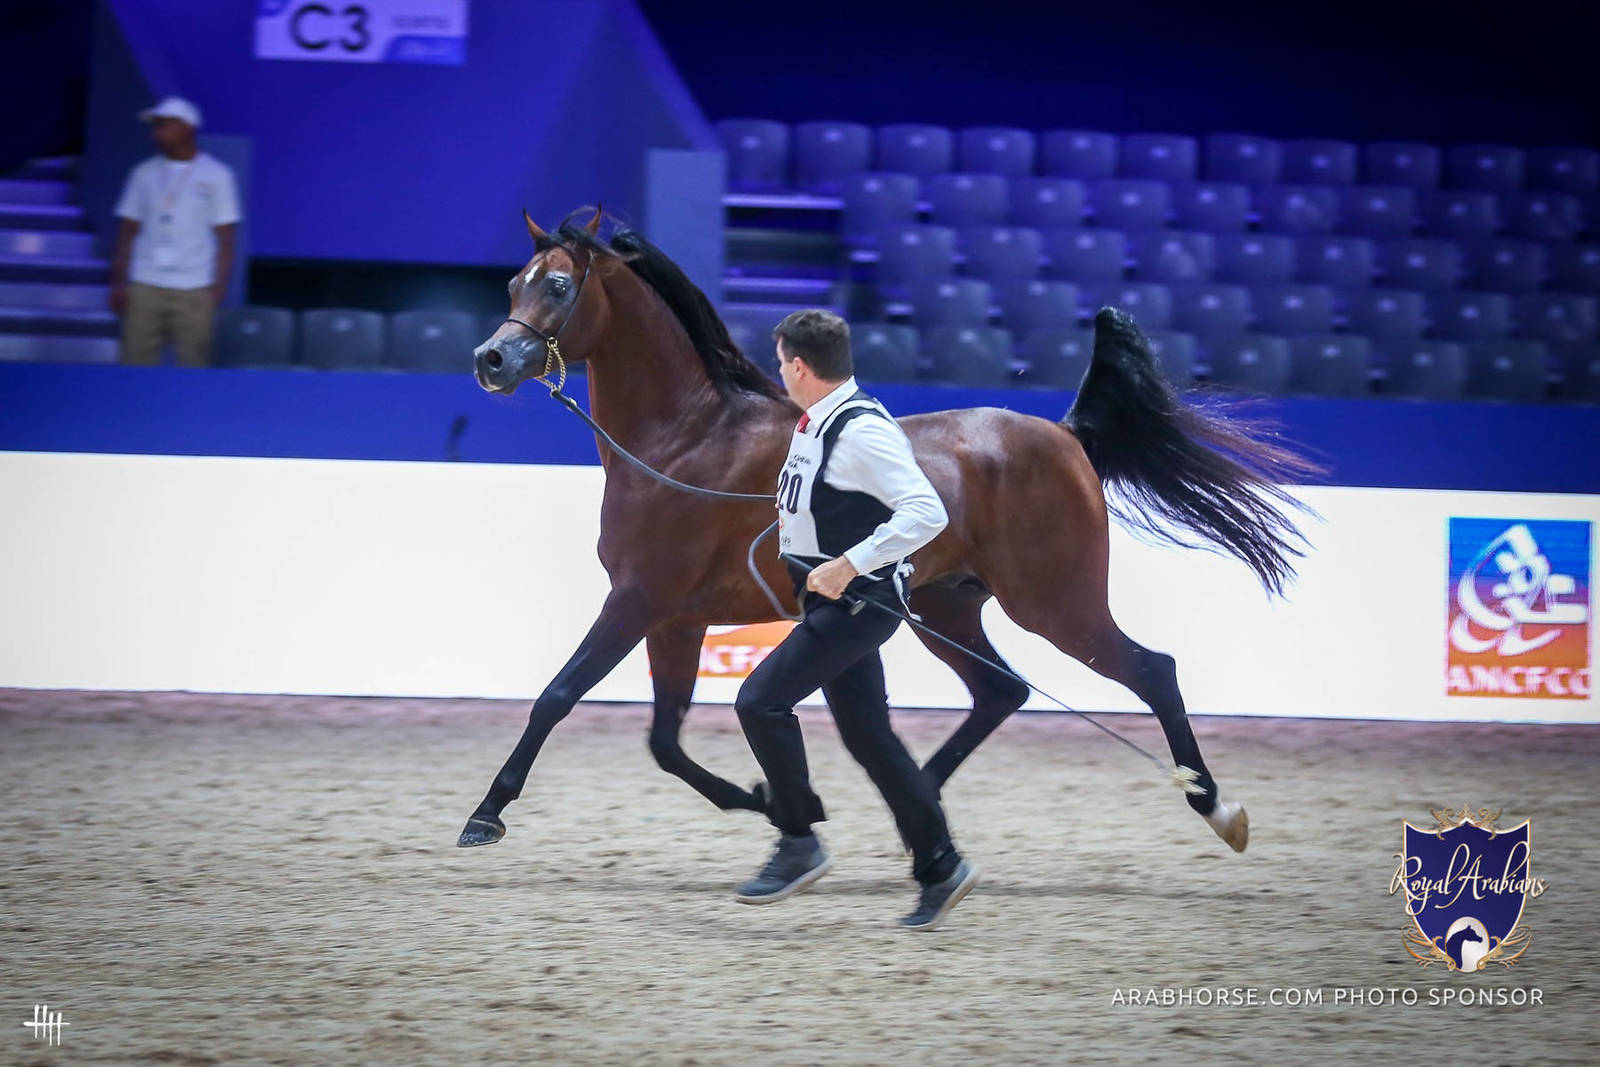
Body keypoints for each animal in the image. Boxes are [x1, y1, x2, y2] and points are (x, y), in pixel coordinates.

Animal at [459, 207, 1316, 854]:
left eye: (559, 284)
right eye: (511, 282)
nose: (490, 360)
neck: (688, 440)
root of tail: (1066, 435)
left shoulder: (637, 602)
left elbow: (557, 697)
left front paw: (485, 814)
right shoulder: (676, 618)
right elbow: (664, 741)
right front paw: (777, 801)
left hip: (1057, 606)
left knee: (1153, 671)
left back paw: (1215, 807)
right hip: (948, 606)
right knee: (1002, 690)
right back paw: (918, 811)